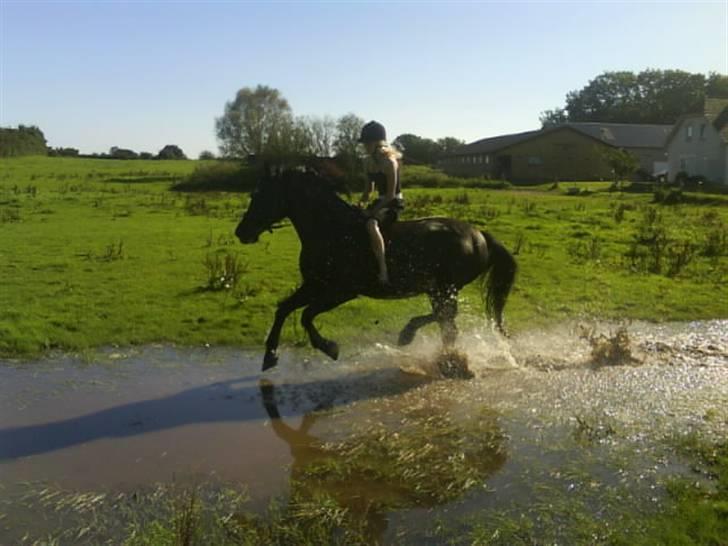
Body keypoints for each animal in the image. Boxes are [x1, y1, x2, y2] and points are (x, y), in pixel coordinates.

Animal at [236, 169, 516, 370]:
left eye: (262, 196)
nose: (241, 232)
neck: (331, 231)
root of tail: (479, 234)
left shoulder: (341, 292)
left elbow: (306, 315)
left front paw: (329, 347)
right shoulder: (314, 284)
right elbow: (284, 308)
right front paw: (270, 356)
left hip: (444, 288)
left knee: (448, 321)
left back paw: (424, 346)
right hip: (438, 289)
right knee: (447, 322)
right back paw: (424, 345)